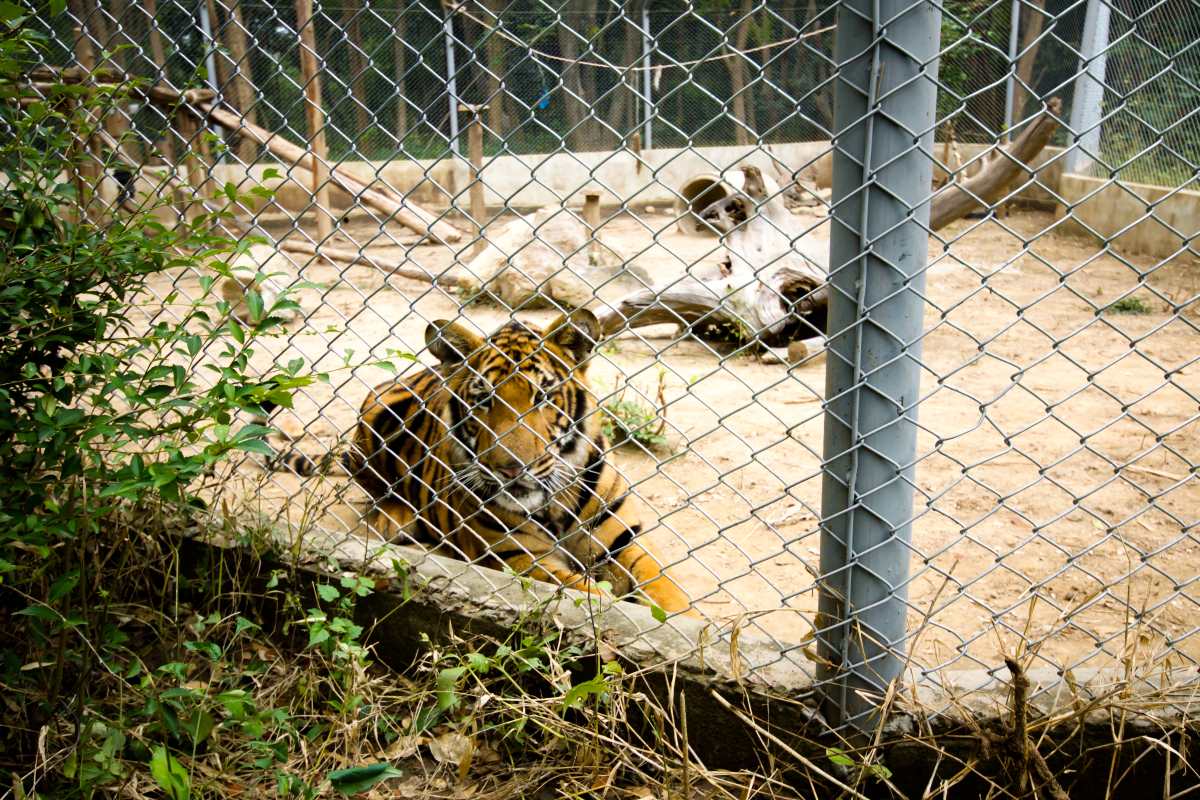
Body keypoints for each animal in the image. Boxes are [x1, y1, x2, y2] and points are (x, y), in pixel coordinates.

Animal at [262, 309, 696, 618]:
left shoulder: (625, 539)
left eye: (542, 396)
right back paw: (394, 519)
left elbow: (666, 591)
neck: (553, 503)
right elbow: (589, 596)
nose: (511, 468)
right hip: (376, 417)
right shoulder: (521, 558)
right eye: (483, 399)